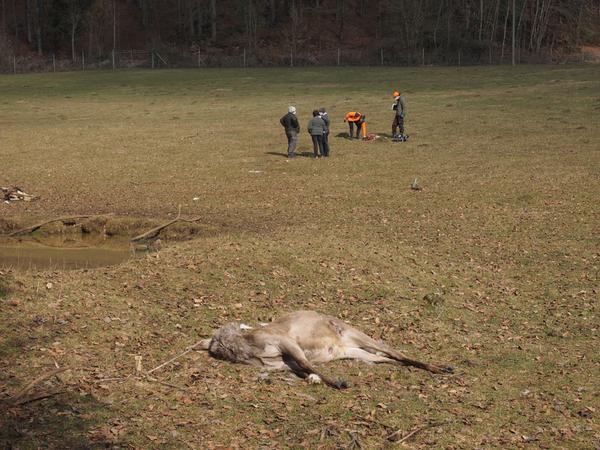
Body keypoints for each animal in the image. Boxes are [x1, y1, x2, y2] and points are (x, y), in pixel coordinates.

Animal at [200, 312, 450, 388]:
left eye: (226, 334)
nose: (218, 348)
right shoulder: (282, 362)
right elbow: (302, 369)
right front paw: (317, 379)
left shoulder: (285, 340)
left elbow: (305, 363)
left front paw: (337, 382)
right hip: (353, 351)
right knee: (386, 358)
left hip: (355, 333)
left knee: (393, 352)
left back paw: (441, 367)